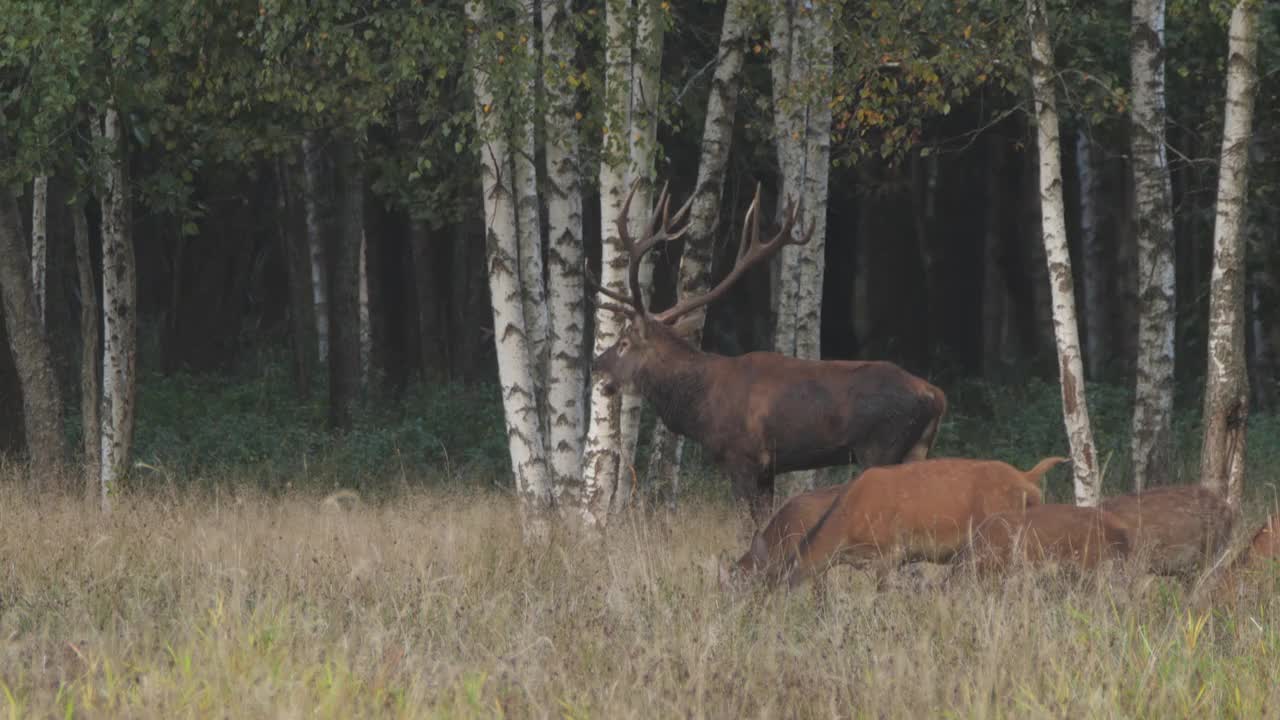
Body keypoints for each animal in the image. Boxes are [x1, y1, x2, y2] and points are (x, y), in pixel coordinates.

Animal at [593, 181, 947, 525]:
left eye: (623, 343)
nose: (597, 365)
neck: (700, 406)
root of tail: (935, 395)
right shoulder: (768, 469)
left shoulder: (741, 457)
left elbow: (746, 528)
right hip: (916, 449)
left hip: (880, 446)